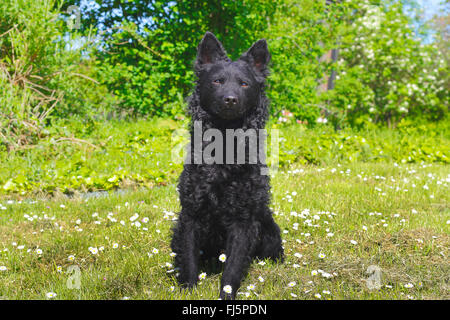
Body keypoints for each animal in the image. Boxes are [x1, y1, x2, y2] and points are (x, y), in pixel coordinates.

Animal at [171, 31, 284, 298]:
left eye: (244, 84)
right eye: (217, 81)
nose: (230, 100)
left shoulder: (243, 221)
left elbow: (232, 268)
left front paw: (227, 295)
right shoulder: (190, 216)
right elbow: (189, 260)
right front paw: (189, 289)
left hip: (269, 230)